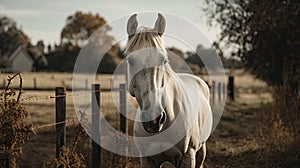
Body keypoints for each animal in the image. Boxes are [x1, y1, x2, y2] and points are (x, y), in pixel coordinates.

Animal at [125, 13, 212, 168]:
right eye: (130, 60)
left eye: (163, 60)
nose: (154, 119)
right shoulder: (147, 159)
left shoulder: (188, 156)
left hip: (201, 149)